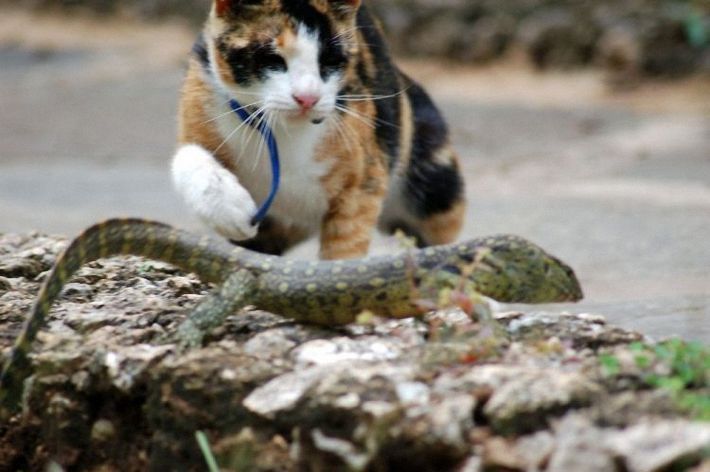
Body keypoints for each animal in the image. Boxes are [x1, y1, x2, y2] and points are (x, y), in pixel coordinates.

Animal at [172, 0, 468, 258]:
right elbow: (187, 157)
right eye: (272, 59)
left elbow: (345, 248)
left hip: (434, 181)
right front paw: (231, 211)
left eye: (330, 60)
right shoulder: (202, 93)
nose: (307, 97)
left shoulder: (364, 180)